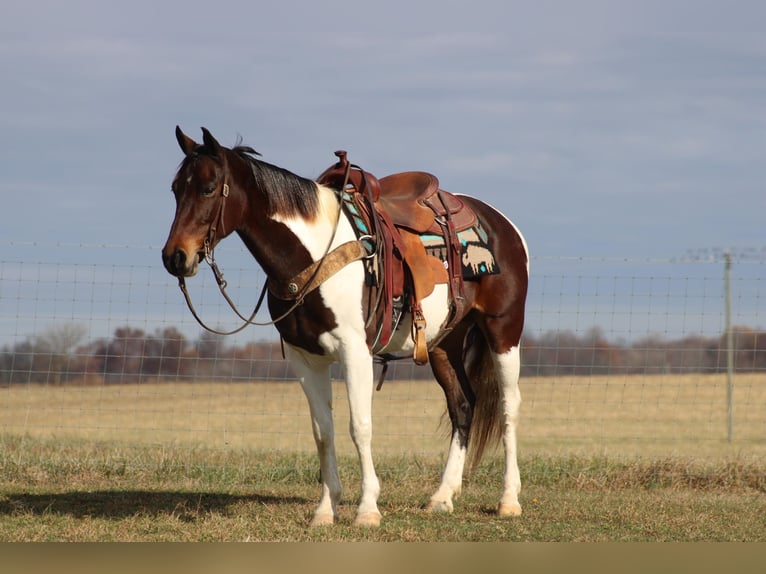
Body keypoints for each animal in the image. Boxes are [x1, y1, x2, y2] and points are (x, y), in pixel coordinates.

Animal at [164, 127, 528, 532]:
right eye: (175, 189)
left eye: (209, 188)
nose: (175, 257)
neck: (311, 254)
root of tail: (502, 223)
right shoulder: (305, 358)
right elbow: (323, 432)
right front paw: (326, 509)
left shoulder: (355, 352)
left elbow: (360, 425)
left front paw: (367, 508)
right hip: (443, 343)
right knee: (462, 405)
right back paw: (442, 497)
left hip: (504, 332)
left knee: (509, 406)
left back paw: (509, 500)